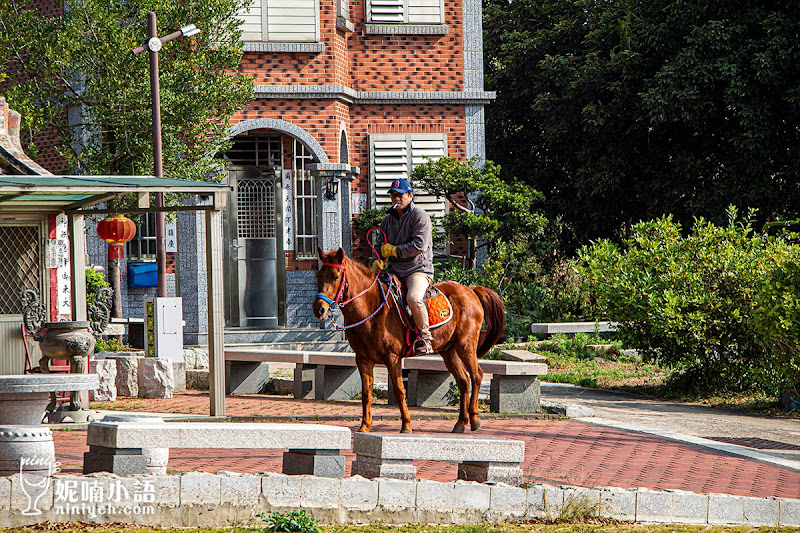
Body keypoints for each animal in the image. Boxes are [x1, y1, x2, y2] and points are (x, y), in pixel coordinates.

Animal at [314, 247, 506, 434]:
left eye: (336, 276)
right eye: (318, 275)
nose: (319, 309)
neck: (371, 308)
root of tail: (470, 290)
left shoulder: (392, 358)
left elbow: (399, 390)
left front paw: (406, 425)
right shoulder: (363, 359)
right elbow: (367, 393)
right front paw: (365, 426)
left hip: (466, 345)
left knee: (476, 375)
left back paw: (474, 419)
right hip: (449, 351)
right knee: (464, 381)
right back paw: (460, 423)